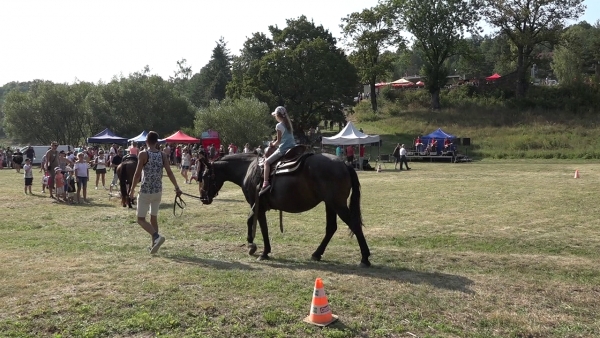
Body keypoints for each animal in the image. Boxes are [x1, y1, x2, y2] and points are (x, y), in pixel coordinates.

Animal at [199, 151, 372, 266]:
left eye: (205, 176)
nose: (203, 198)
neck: (248, 170)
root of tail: (344, 163)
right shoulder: (258, 207)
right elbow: (254, 223)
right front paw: (254, 246)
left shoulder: (258, 206)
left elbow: (260, 227)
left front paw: (260, 250)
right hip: (330, 204)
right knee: (331, 228)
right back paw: (317, 254)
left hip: (337, 204)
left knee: (354, 224)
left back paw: (365, 258)